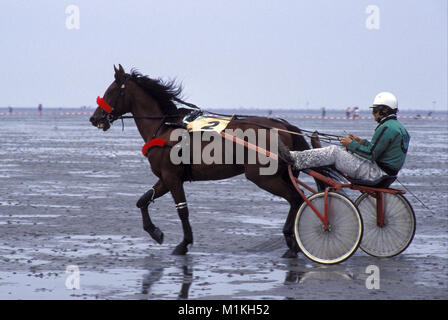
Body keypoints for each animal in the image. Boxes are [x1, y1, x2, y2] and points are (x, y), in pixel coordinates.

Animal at [90, 64, 316, 258]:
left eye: (111, 91)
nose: (94, 118)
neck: (165, 128)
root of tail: (283, 126)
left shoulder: (172, 177)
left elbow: (182, 210)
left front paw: (183, 244)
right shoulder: (165, 178)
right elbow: (143, 200)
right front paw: (155, 232)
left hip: (264, 177)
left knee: (296, 199)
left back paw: (292, 244)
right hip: (282, 175)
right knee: (298, 198)